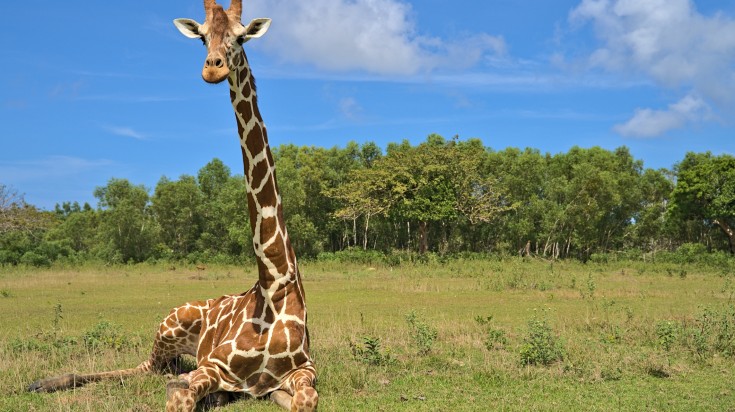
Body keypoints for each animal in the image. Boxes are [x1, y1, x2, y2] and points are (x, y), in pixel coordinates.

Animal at [27, 1, 316, 410]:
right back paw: (45, 382)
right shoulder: (212, 367)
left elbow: (300, 399)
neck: (273, 282)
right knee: (147, 367)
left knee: (163, 369)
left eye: (241, 37)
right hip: (170, 324)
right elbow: (180, 396)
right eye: (202, 38)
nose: (213, 67)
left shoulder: (302, 370)